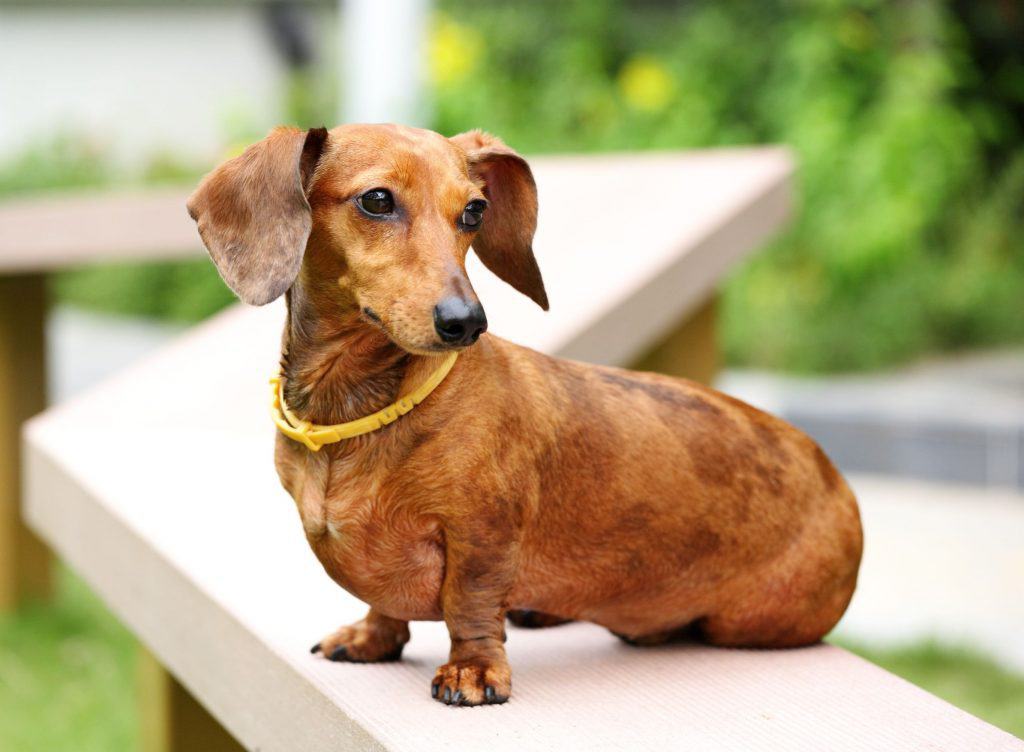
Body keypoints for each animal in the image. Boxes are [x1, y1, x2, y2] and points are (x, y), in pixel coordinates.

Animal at [188, 122, 860, 704]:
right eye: (376, 200)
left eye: (474, 211)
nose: (466, 322)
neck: (354, 414)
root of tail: (836, 479)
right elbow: (386, 606)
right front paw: (372, 637)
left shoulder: (481, 535)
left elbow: (470, 603)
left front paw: (474, 670)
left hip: (750, 620)